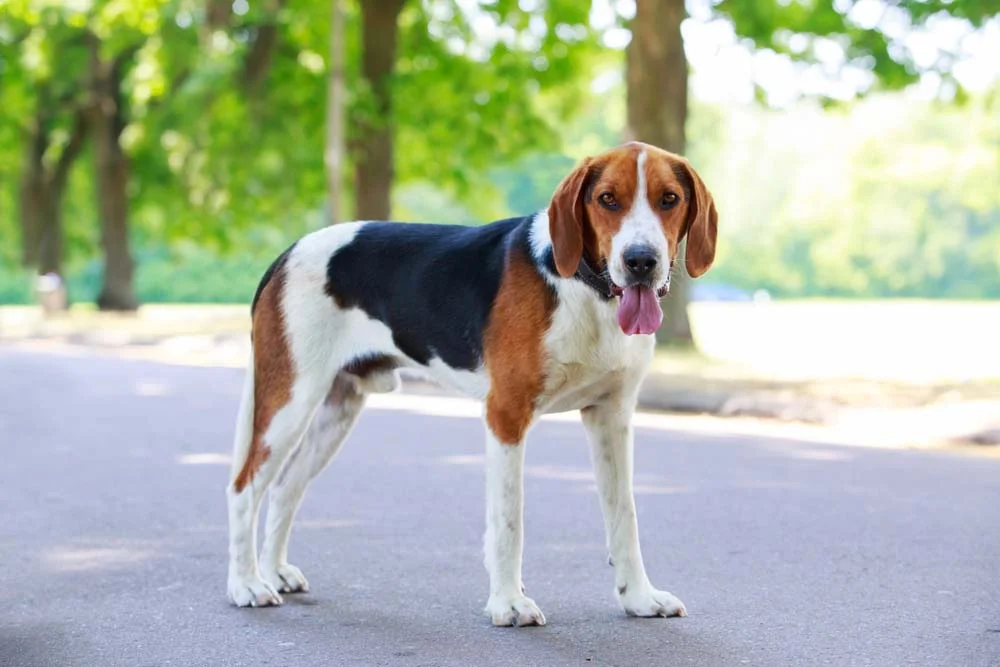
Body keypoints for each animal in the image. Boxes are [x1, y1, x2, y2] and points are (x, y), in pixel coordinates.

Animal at [225, 141, 720, 628]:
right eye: (608, 199)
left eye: (669, 199)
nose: (641, 261)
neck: (586, 290)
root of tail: (288, 252)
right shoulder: (506, 415)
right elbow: (508, 521)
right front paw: (509, 604)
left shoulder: (611, 418)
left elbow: (624, 517)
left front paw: (638, 597)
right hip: (289, 402)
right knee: (244, 488)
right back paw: (246, 584)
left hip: (335, 410)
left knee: (285, 487)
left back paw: (275, 571)